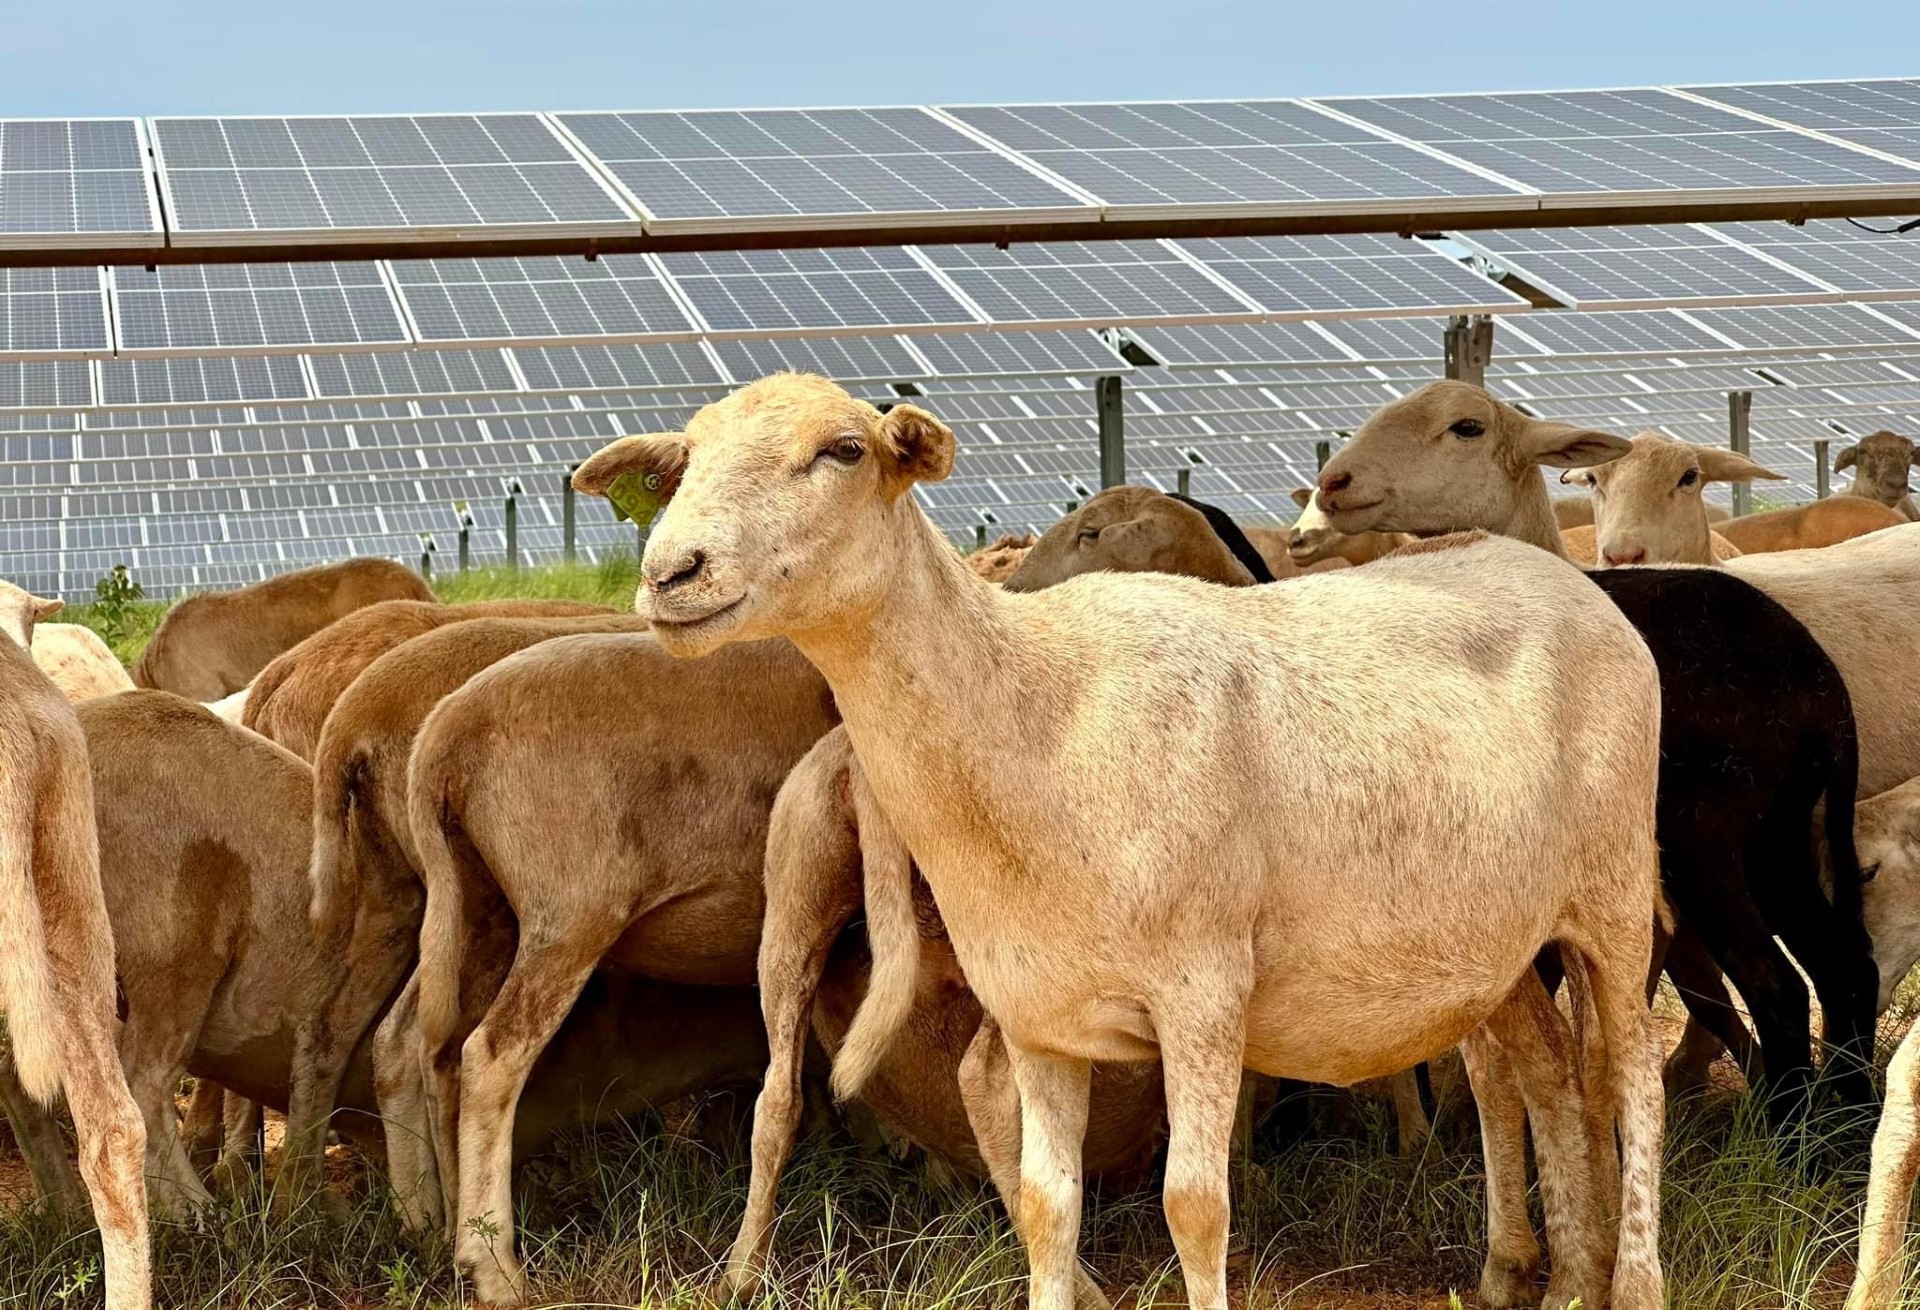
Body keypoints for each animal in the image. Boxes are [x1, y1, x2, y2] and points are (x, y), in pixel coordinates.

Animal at [576, 372, 1674, 1306]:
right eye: (679, 463)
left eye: (844, 449)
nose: (672, 573)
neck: (1038, 712)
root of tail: (1558, 573)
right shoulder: (1038, 1012)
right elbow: (1046, 1204)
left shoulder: (1204, 994)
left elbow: (1195, 1206)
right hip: (1495, 936)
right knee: (1544, 1072)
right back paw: (1555, 1273)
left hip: (1616, 891)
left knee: (1632, 1076)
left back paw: (1632, 1279)